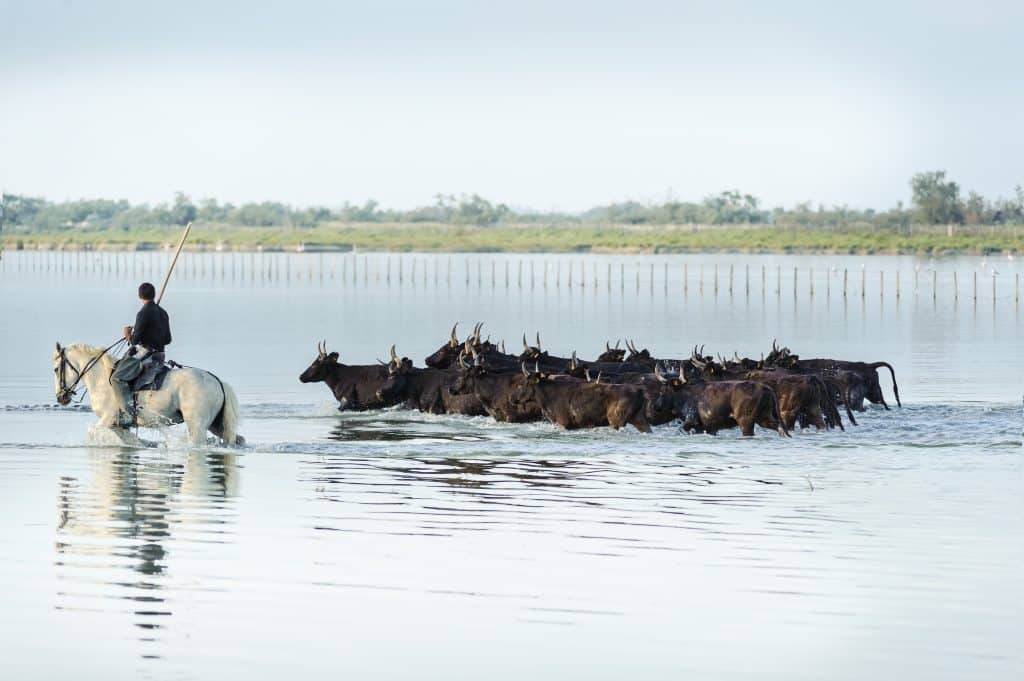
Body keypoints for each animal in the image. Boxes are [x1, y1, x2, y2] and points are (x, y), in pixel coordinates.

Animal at [53, 342, 244, 446]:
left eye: (55, 369)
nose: (61, 397)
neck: (101, 377)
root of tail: (217, 381)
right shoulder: (118, 425)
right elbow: (131, 440)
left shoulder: (108, 418)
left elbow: (92, 433)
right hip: (216, 425)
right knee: (237, 439)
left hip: (197, 426)